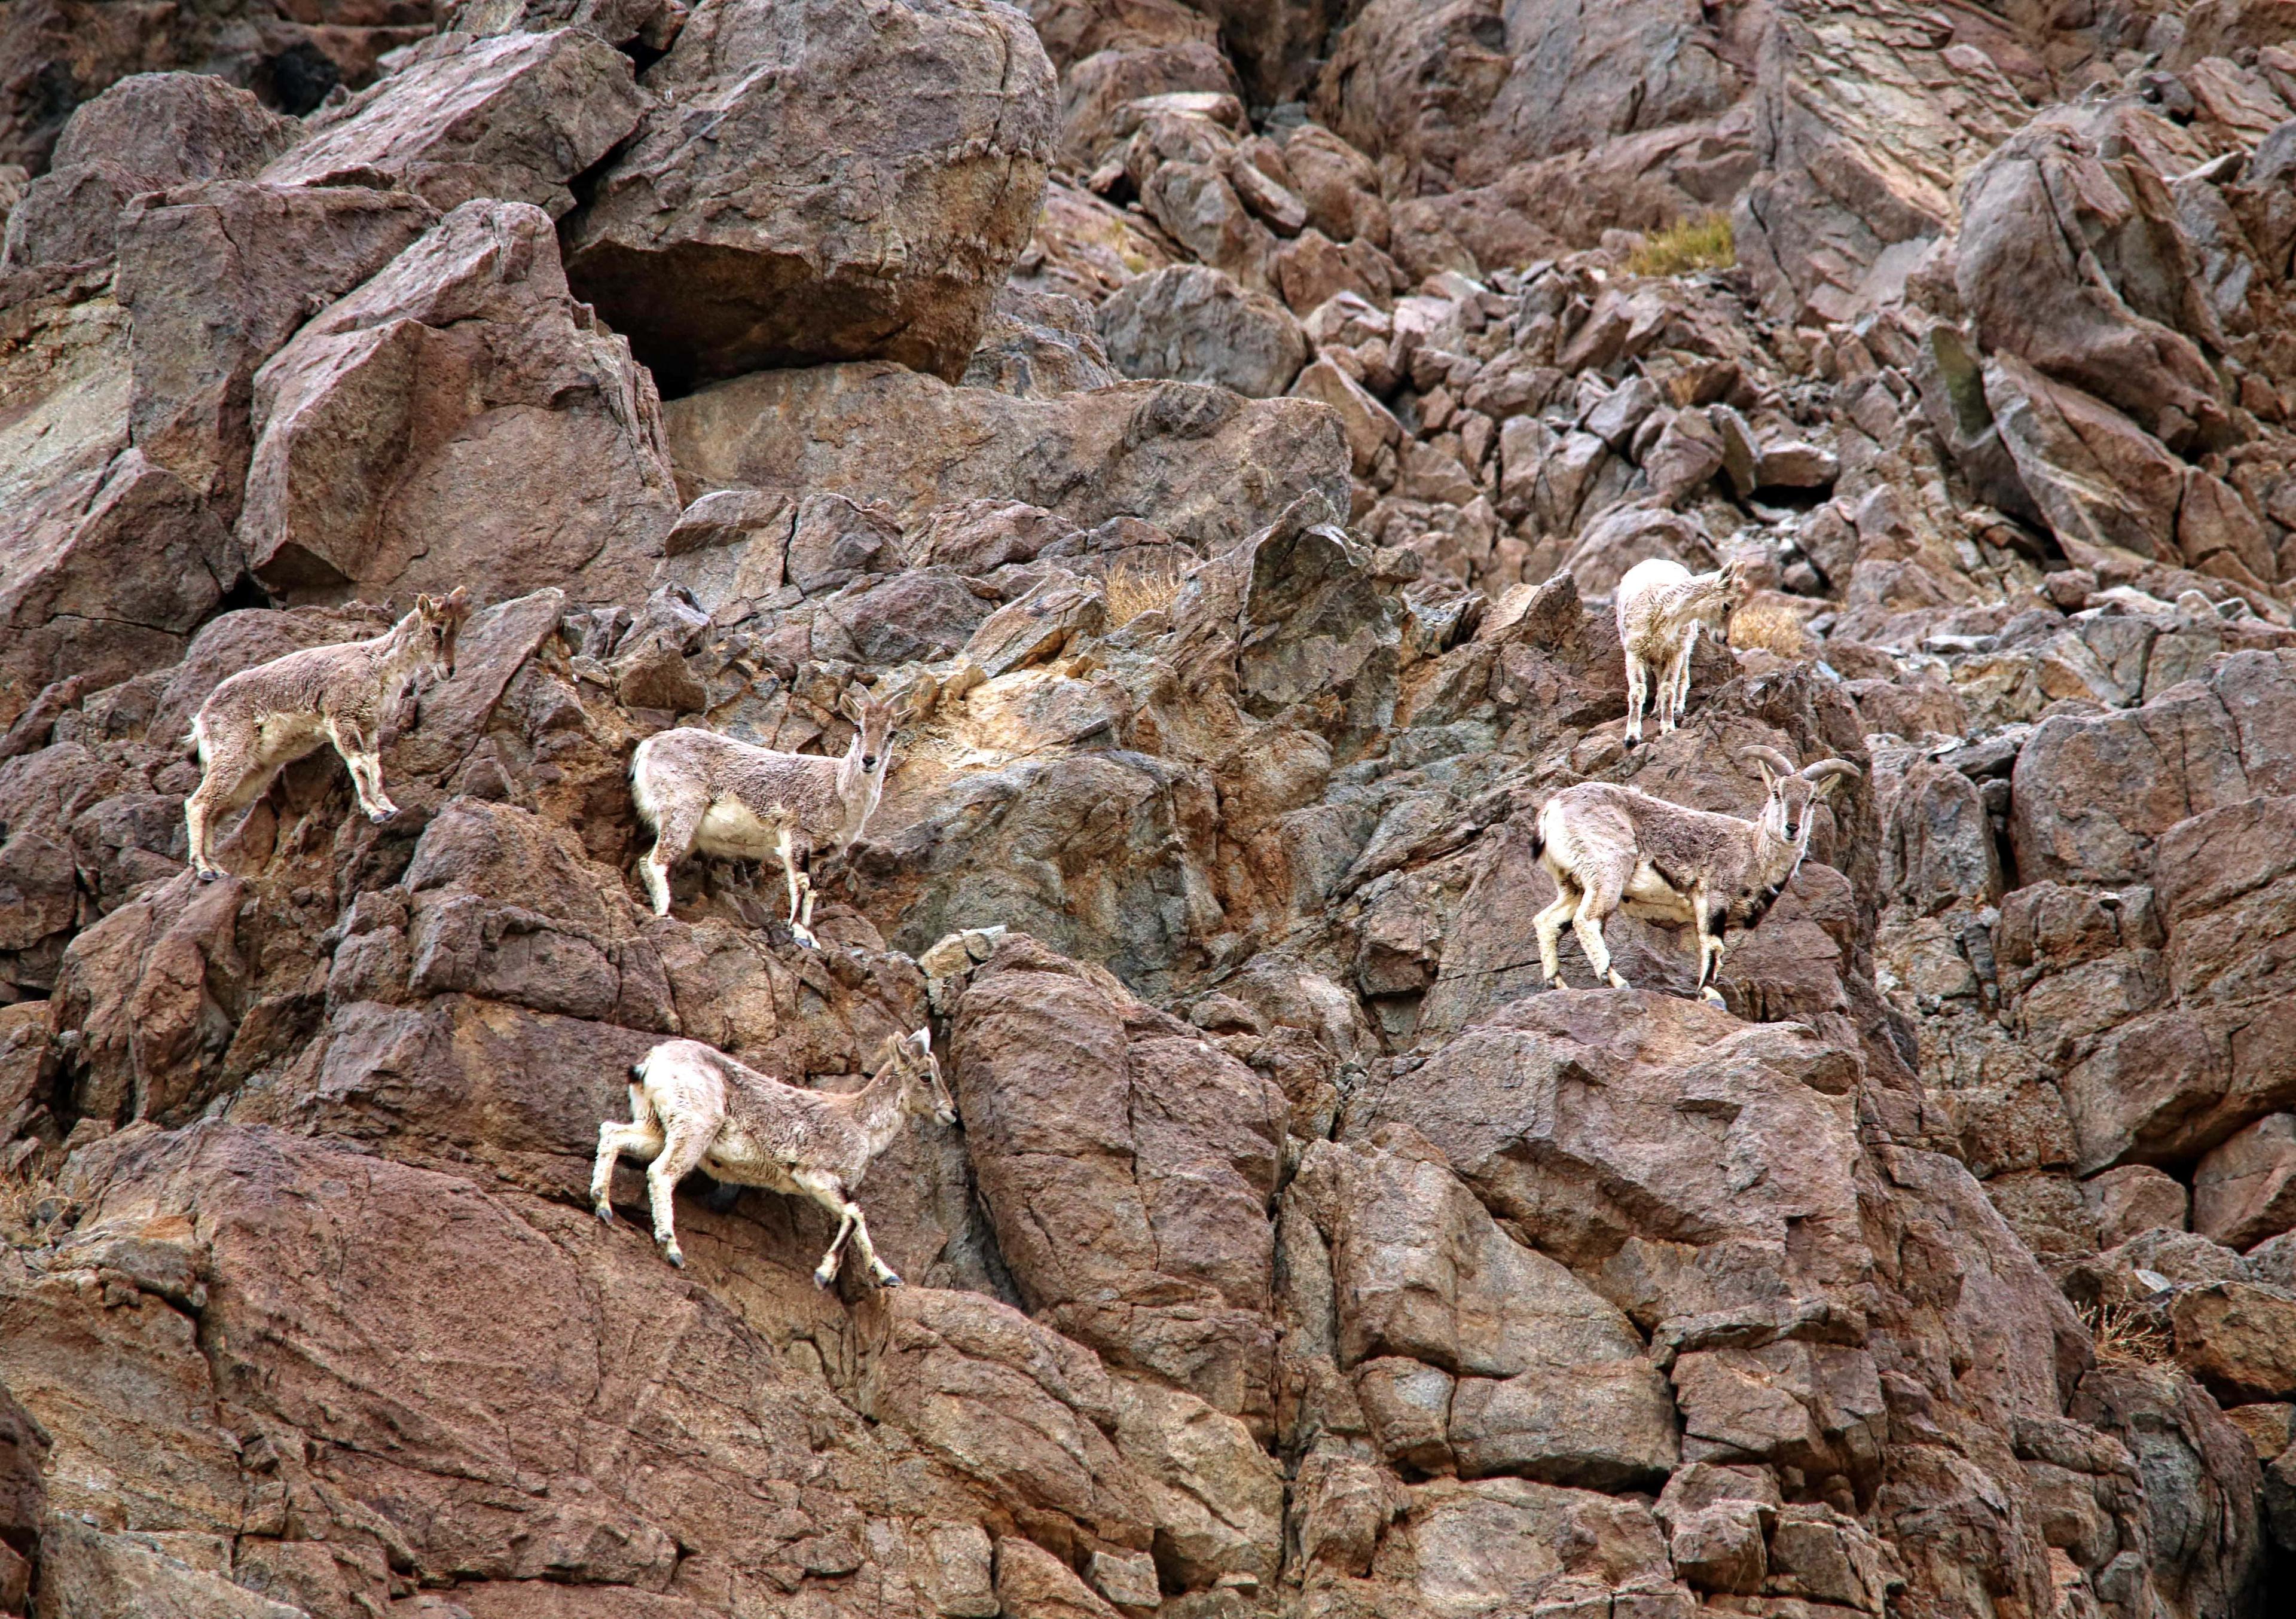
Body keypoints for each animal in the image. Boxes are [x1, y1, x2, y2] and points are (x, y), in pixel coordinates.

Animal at [184, 588, 471, 881]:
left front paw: (389, 808)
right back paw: (204, 868)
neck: (378, 667)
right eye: (436, 629)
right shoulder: (341, 718)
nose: (449, 670)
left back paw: (216, 868)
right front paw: (375, 812)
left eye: (459, 627)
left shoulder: (370, 726)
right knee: (198, 803)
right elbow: (358, 765)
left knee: (215, 810)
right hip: (231, 754)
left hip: (252, 776)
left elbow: (375, 765)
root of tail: (200, 722)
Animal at [592, 1028, 956, 1282]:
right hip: (694, 1126)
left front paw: (888, 1277)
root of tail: (651, 1063)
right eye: (926, 1076)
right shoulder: (814, 1177)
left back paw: (603, 1207)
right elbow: (856, 1215)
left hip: (654, 1124)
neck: (862, 1126)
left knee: (612, 1133)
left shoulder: (834, 1188)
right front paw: (824, 1275)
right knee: (661, 1171)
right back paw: (671, 1248)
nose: (951, 1112)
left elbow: (858, 1222)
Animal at [630, 689, 904, 945]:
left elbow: (811, 891)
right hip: (681, 810)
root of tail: (647, 747)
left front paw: (809, 934)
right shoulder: (796, 834)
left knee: (645, 861)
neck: (840, 791)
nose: (869, 760)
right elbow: (801, 883)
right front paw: (799, 932)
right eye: (858, 727)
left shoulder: (818, 855)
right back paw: (666, 915)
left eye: (892, 733)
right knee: (657, 860)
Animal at [1530, 746, 1861, 1005]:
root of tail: (1551, 809)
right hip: (1607, 870)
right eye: (1776, 793)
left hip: (1573, 883)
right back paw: (1615, 980)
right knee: (1586, 920)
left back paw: (1558, 984)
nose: (1792, 828)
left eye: (1812, 800)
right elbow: (1713, 945)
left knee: (1548, 921)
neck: (1754, 852)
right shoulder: (1714, 897)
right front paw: (1709, 995)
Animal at [1616, 558, 1748, 745]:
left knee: (1682, 679)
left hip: (1684, 650)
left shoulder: (1674, 653)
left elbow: (1668, 688)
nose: (1723, 638)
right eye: (1727, 606)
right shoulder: (1635, 653)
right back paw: (1656, 711)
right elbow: (1638, 691)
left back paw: (1676, 708)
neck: (1660, 612)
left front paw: (1667, 727)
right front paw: (1632, 737)